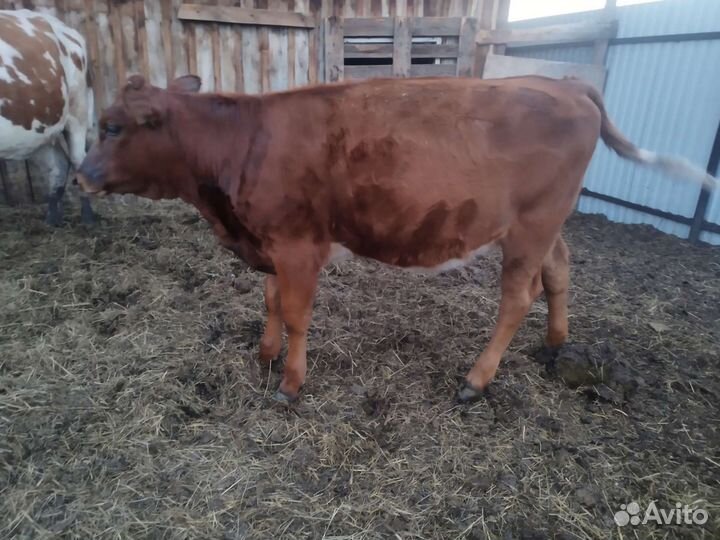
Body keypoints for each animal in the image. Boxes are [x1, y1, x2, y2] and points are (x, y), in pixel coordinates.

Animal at [0, 9, 95, 225]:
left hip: (77, 110)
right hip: (39, 126)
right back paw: (52, 220)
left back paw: (88, 218)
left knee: (78, 159)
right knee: (58, 164)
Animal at [76, 74, 716, 403]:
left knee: (518, 295)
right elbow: (270, 300)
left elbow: (297, 312)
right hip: (548, 221)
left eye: (112, 127)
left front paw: (290, 383)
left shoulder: (297, 244)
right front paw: (263, 353)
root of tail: (563, 80)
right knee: (559, 269)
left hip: (532, 224)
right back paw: (555, 346)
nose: (80, 175)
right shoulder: (271, 243)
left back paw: (476, 380)